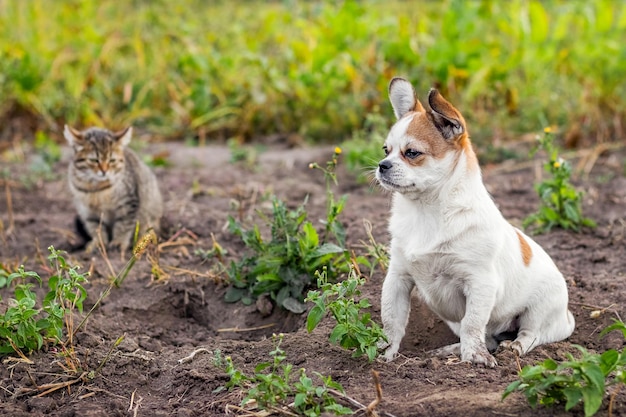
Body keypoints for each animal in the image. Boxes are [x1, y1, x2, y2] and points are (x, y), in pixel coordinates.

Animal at [372, 77, 572, 364]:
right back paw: (452, 350)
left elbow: (472, 323)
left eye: (412, 153)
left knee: (530, 334)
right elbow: (391, 320)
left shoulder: (479, 283)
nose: (382, 165)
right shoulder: (397, 278)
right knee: (489, 338)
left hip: (539, 309)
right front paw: (384, 351)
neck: (425, 211)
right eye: (385, 150)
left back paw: (514, 347)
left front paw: (474, 358)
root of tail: (567, 318)